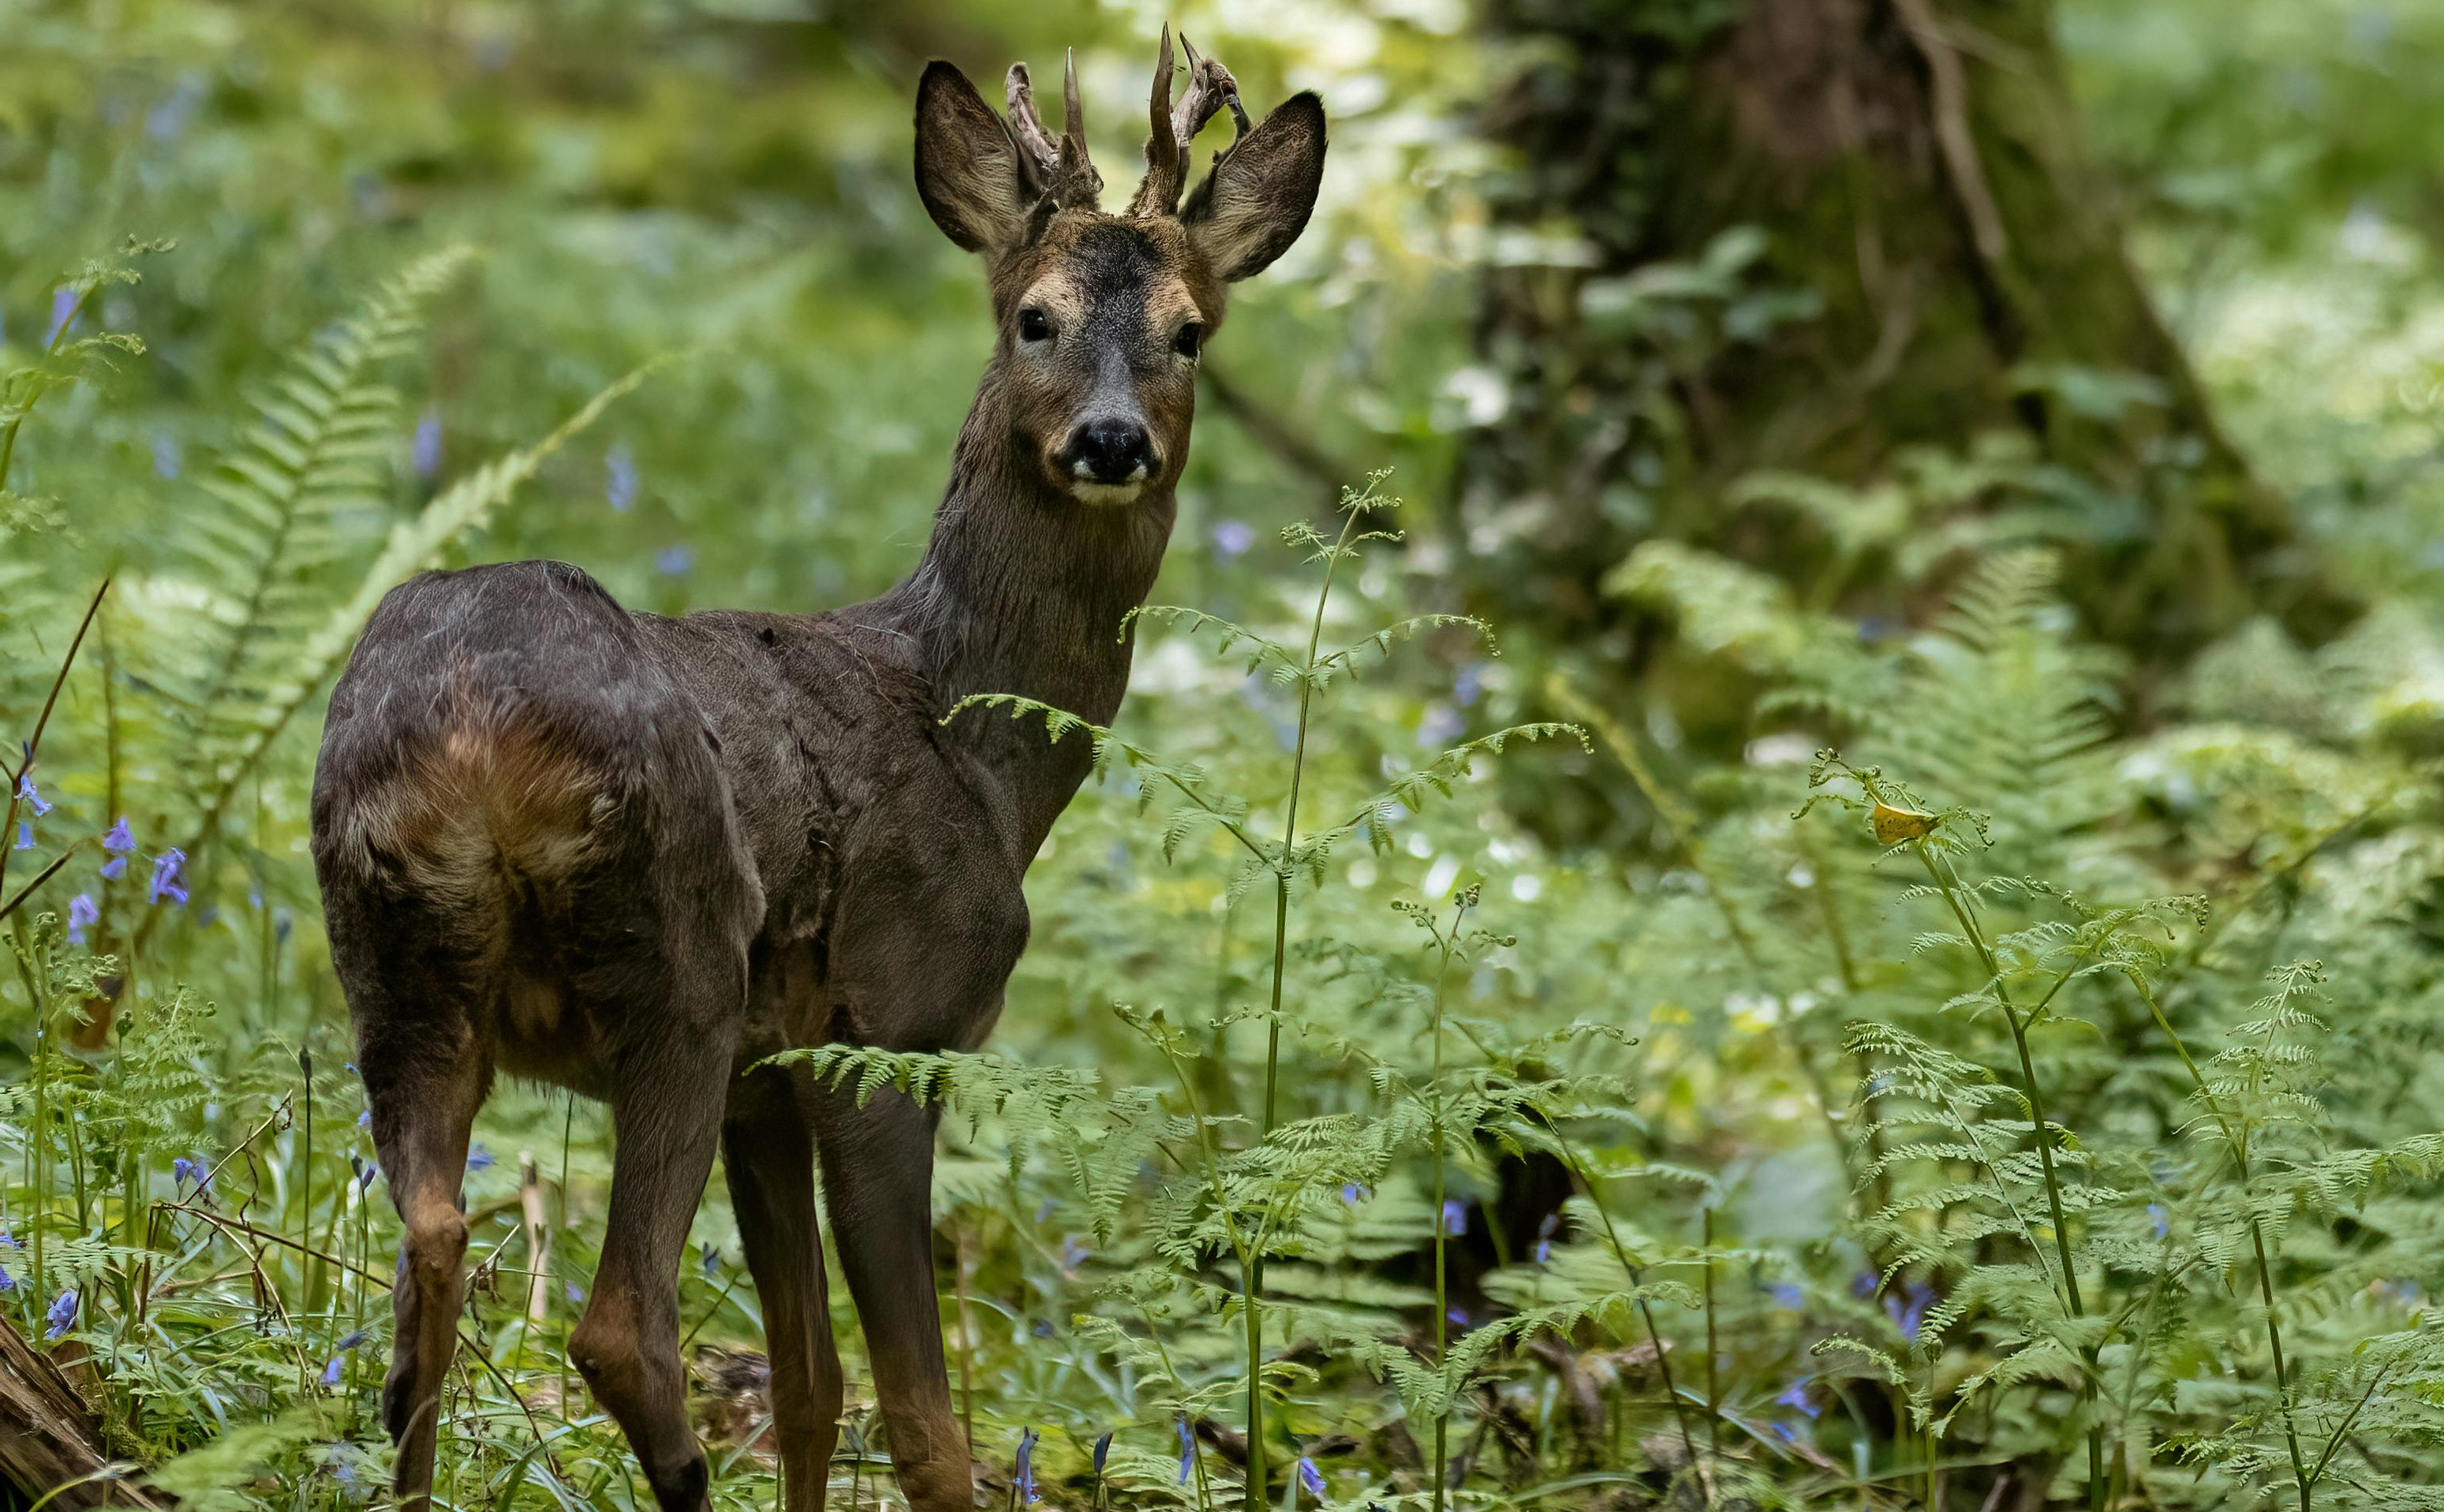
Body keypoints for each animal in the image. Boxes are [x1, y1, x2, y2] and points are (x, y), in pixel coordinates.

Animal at [308, 31, 1324, 1512]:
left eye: (1188, 330)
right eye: (1032, 318)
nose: (1111, 440)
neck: (975, 741)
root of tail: (474, 725)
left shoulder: (770, 1077)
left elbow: (808, 1385)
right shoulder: (888, 1028)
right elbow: (919, 1421)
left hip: (395, 966)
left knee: (424, 1256)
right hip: (675, 962)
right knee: (618, 1324)